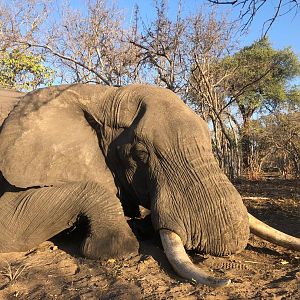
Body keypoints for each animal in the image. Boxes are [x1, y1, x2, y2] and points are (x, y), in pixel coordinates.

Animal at [0, 83, 298, 288]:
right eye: (140, 154)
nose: (226, 279)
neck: (100, 96)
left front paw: (142, 227)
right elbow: (10, 227)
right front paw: (116, 248)